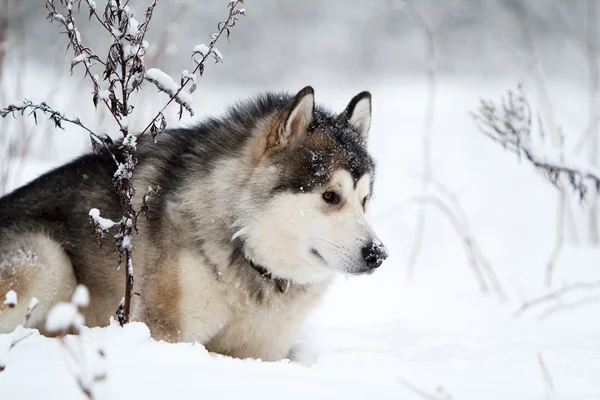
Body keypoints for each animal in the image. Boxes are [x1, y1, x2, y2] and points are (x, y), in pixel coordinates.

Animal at [0, 87, 390, 362]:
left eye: (364, 200)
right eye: (330, 196)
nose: (378, 254)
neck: (243, 246)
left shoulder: (262, 350)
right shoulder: (165, 331)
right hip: (48, 262)